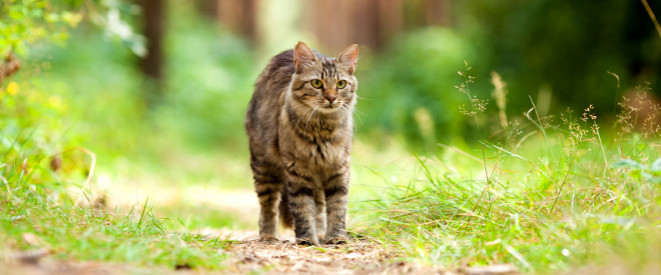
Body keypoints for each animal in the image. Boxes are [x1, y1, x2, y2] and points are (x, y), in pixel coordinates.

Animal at [245, 41, 358, 246]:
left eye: (341, 84)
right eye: (317, 83)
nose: (331, 98)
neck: (322, 129)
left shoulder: (338, 169)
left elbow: (337, 208)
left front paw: (336, 237)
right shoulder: (297, 171)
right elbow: (302, 208)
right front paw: (306, 239)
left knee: (319, 206)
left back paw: (320, 232)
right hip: (264, 166)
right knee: (268, 206)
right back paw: (268, 236)